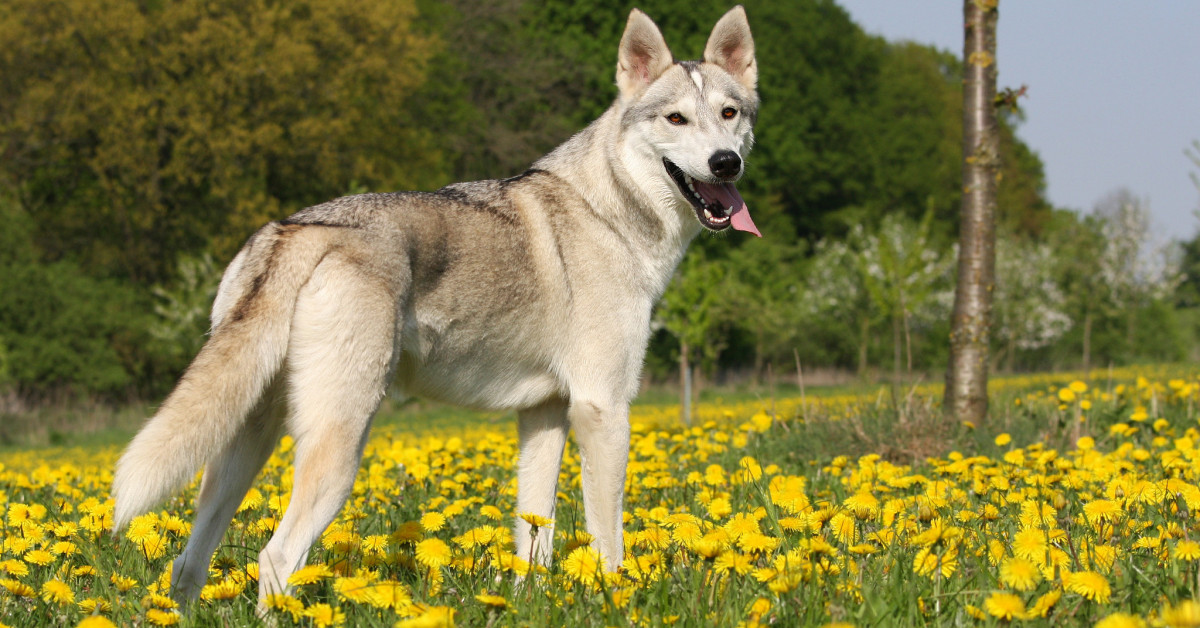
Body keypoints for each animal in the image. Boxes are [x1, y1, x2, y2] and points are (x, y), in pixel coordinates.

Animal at [112, 4, 758, 605]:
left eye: (730, 114)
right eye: (676, 118)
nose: (726, 162)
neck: (612, 210)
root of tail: (297, 230)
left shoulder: (545, 414)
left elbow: (534, 541)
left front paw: (522, 600)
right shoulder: (604, 408)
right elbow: (609, 542)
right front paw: (614, 599)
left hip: (242, 452)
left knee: (188, 565)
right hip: (338, 453)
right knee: (275, 559)